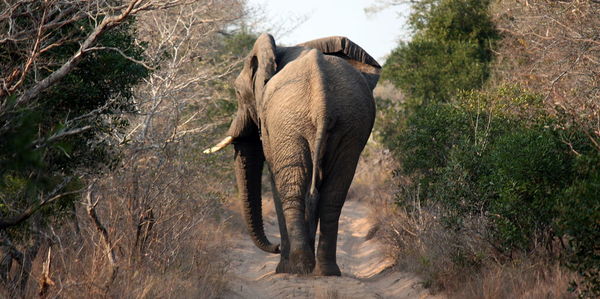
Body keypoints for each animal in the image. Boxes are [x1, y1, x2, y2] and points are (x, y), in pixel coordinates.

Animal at [206, 33, 382, 276]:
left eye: (238, 93)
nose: (275, 247)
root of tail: (322, 98)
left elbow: (275, 179)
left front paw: (284, 267)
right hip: (350, 125)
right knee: (333, 194)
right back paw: (325, 271)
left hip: (288, 124)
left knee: (291, 190)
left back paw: (297, 267)